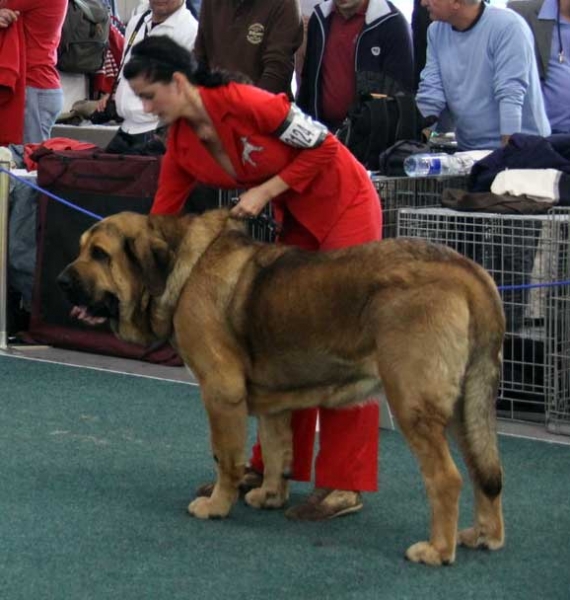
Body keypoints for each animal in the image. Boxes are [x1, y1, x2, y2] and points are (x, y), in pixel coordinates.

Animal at [56, 209, 502, 564]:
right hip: (466, 407)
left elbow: (226, 457)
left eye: (100, 254)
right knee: (485, 471)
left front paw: (217, 505)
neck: (182, 265)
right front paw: (269, 495)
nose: (61, 281)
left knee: (447, 478)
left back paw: (437, 550)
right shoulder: (273, 403)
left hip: (412, 402)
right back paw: (484, 536)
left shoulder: (221, 392)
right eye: (81, 250)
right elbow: (276, 450)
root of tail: (469, 272)